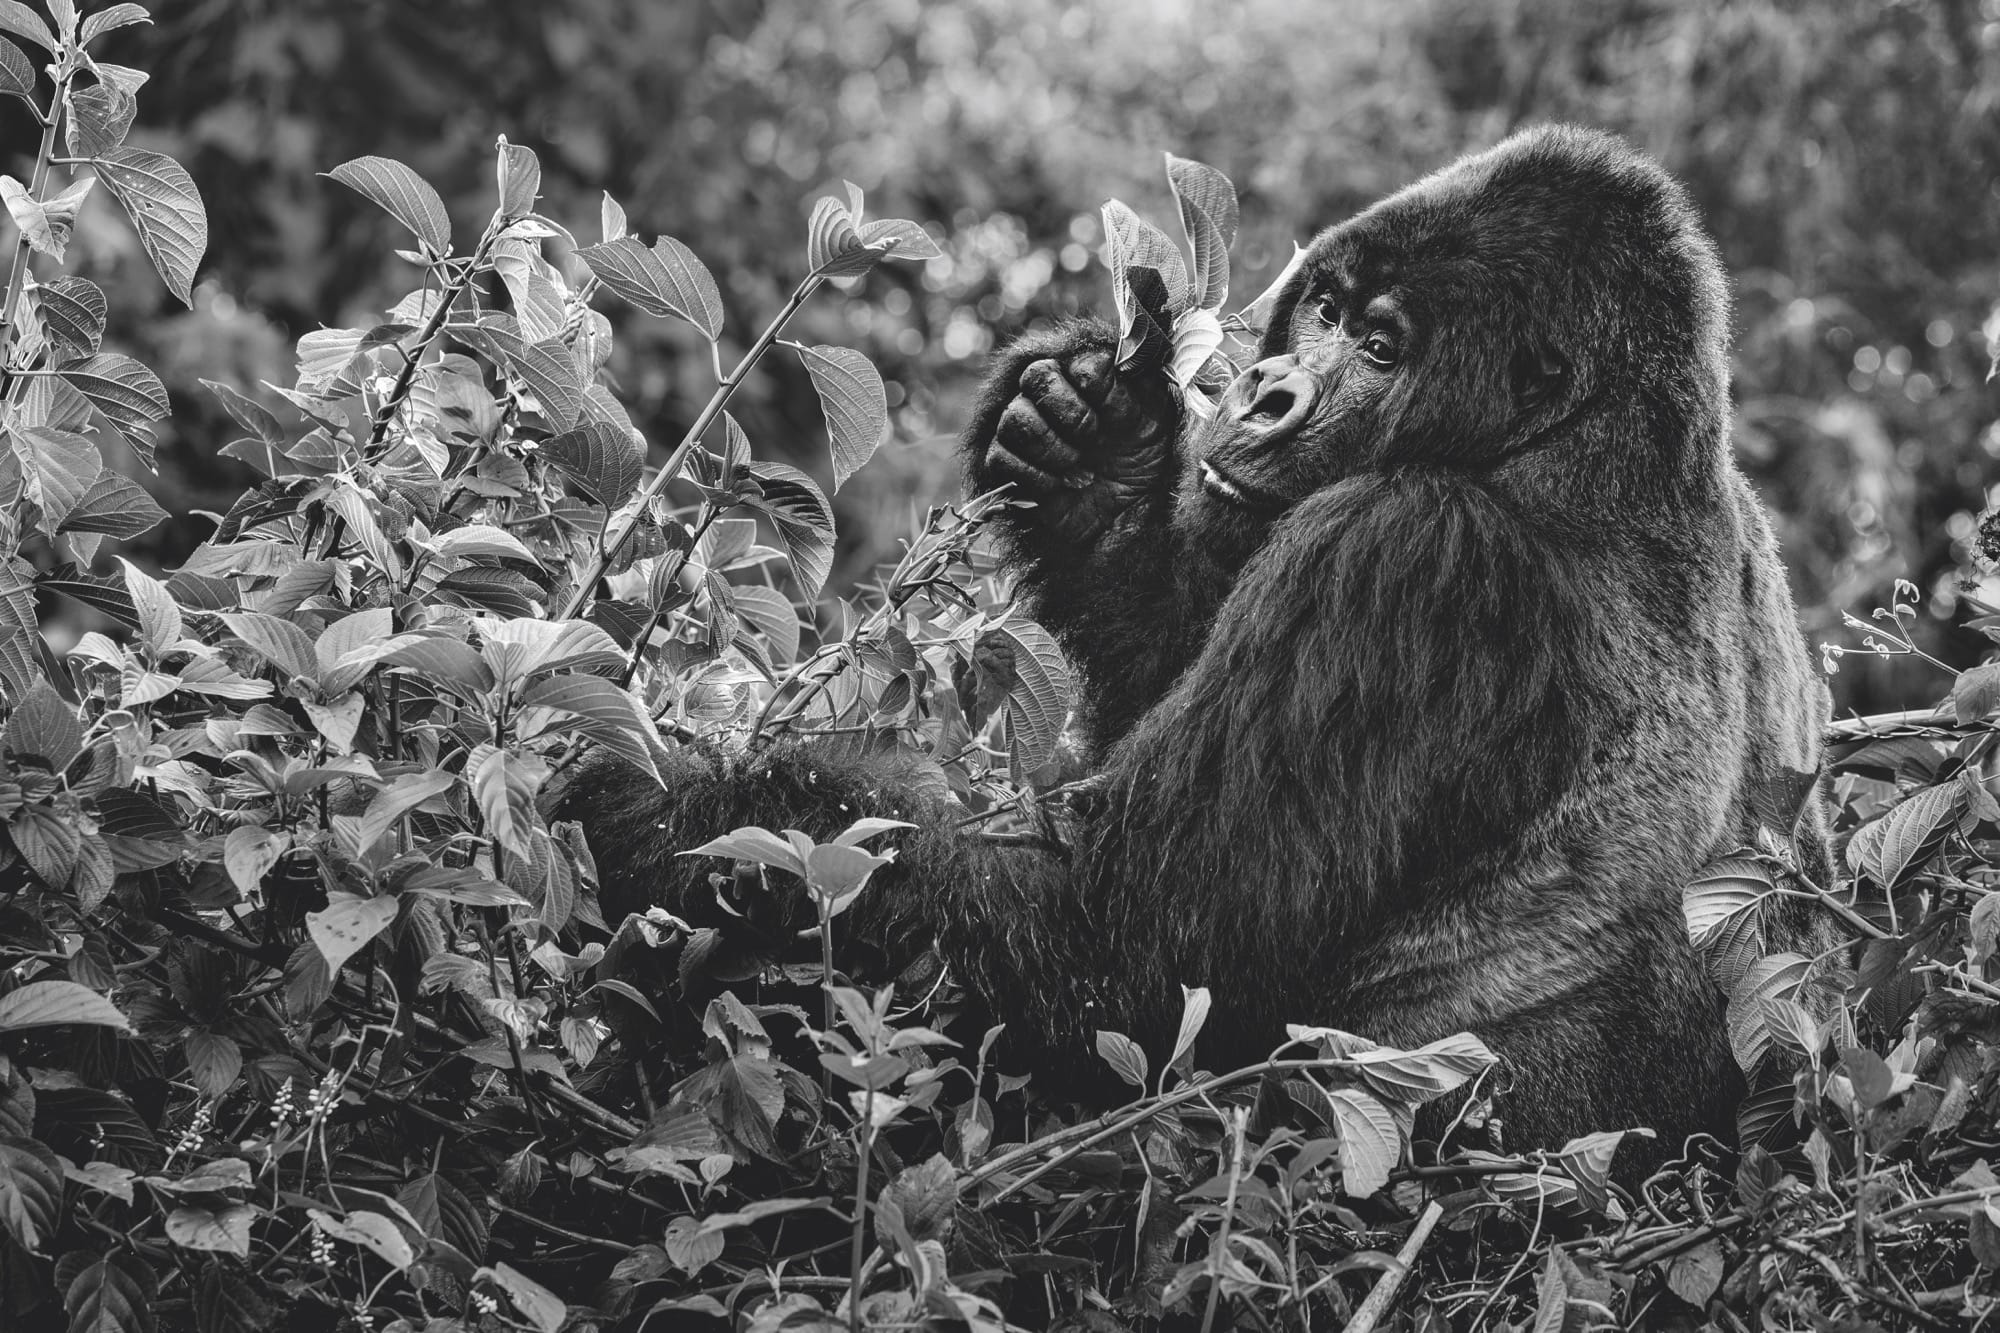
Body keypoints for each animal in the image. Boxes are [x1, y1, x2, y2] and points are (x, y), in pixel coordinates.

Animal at [557, 125, 1833, 1158]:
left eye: (1380, 348)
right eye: (1324, 310)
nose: (1264, 390)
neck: (1592, 438)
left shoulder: (1403, 554)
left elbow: (1118, 941)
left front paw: (680, 813)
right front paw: (1094, 456)